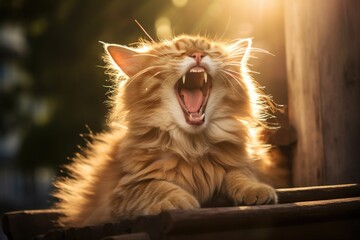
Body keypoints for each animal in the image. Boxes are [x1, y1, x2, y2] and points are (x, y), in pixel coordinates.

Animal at [52, 35, 278, 227]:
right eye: (175, 53)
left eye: (210, 51)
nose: (197, 54)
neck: (192, 147)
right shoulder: (122, 192)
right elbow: (156, 186)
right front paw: (179, 199)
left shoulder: (241, 165)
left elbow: (240, 174)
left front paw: (256, 189)